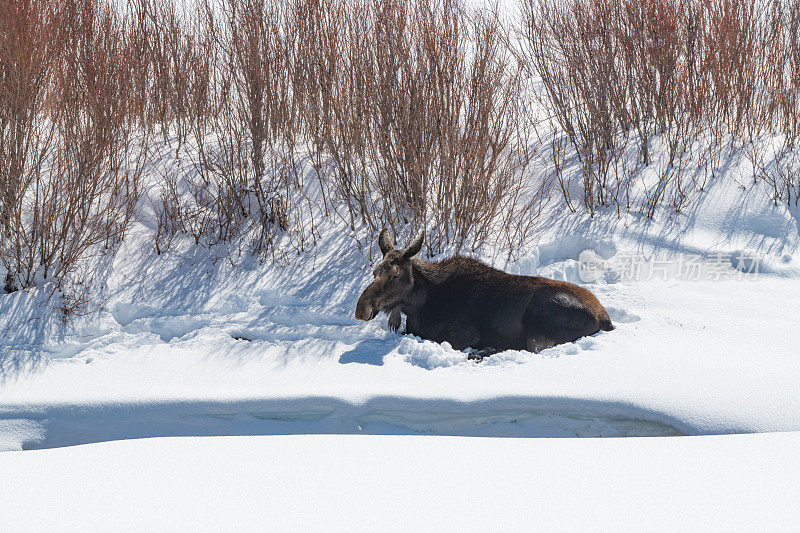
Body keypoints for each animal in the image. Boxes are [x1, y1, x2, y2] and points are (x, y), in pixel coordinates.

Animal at [354, 228, 612, 354]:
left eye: (395, 274)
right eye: (375, 271)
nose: (361, 309)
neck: (418, 305)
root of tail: (605, 318)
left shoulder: (462, 336)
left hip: (540, 321)